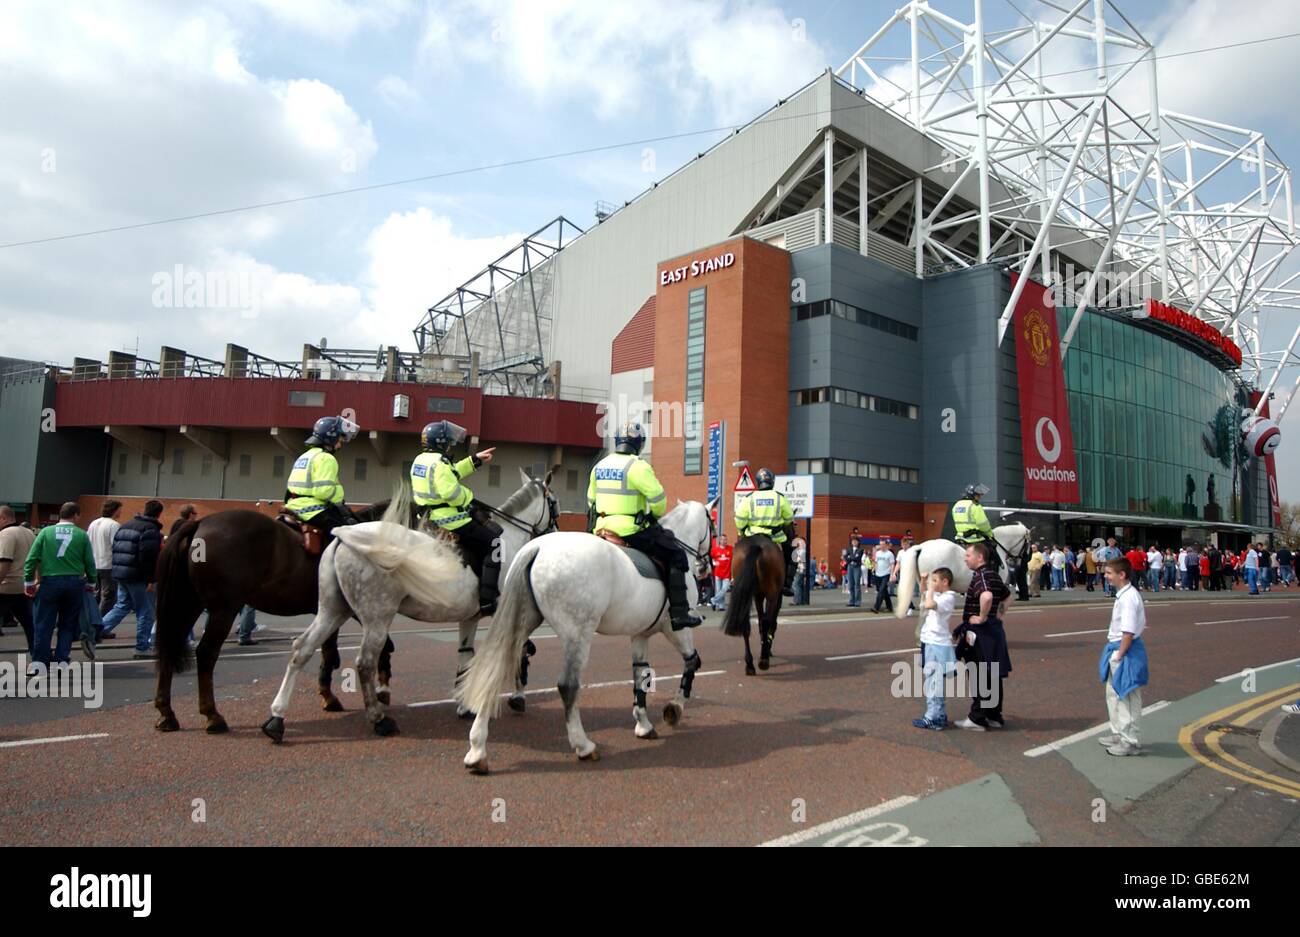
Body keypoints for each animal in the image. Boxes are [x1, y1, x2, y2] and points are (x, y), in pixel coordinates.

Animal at [152, 496, 390, 732]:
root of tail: (199, 523)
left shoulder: (330, 612)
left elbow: (329, 653)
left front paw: (329, 696)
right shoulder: (359, 608)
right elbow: (383, 646)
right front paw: (382, 690)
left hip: (189, 604)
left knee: (169, 647)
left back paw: (166, 714)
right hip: (224, 609)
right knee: (206, 654)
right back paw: (212, 715)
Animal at [260, 470, 559, 743]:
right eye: (554, 503)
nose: (555, 533)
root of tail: (343, 536)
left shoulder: (470, 618)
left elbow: (465, 657)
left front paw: (465, 705)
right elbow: (520, 651)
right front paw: (517, 696)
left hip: (332, 611)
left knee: (302, 649)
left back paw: (277, 718)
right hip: (376, 618)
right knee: (365, 662)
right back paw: (379, 720)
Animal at [454, 501, 722, 769]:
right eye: (712, 525)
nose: (704, 567)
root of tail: (537, 547)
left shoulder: (639, 635)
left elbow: (641, 677)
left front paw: (644, 725)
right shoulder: (677, 630)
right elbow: (692, 662)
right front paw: (674, 709)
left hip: (521, 624)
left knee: (493, 672)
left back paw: (477, 751)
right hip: (578, 636)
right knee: (567, 686)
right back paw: (583, 746)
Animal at [722, 532, 780, 670]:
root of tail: (756, 546)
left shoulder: (758, 596)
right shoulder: (776, 595)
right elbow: (771, 622)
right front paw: (767, 647)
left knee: (745, 624)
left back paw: (749, 664)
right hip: (772, 592)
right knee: (766, 621)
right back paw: (763, 660)